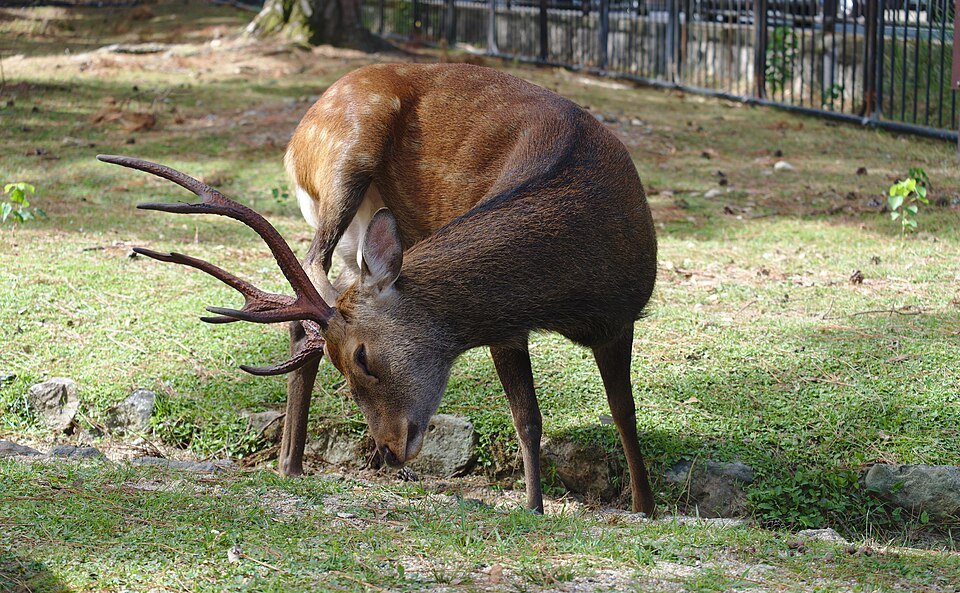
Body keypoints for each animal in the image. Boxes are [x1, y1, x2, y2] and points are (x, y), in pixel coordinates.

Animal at [98, 62, 658, 515]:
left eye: (362, 357)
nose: (388, 451)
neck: (569, 294)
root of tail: (295, 142)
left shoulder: (621, 317)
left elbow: (622, 412)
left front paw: (642, 506)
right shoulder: (506, 326)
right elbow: (529, 418)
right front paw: (536, 507)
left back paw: (290, 462)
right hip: (345, 156)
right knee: (310, 272)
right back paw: (289, 463)